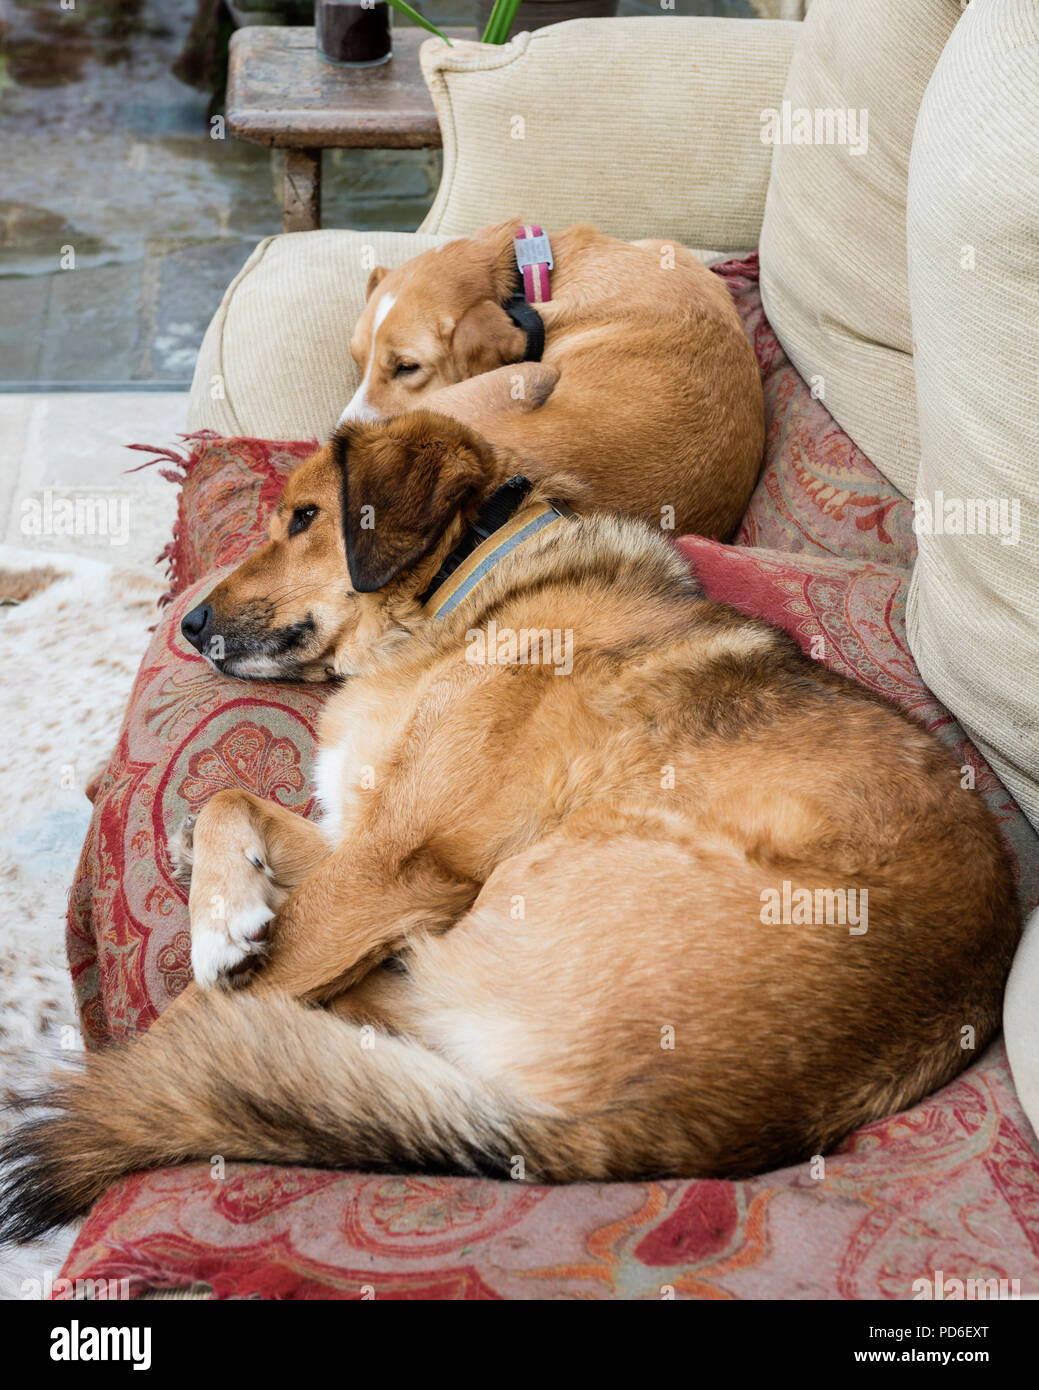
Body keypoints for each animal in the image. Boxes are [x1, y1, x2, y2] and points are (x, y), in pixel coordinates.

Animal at [0, 408, 1023, 1239]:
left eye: (303, 518)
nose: (188, 624)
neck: (462, 595)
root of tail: (688, 1134)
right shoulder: (367, 834)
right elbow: (223, 802)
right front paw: (226, 909)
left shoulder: (400, 865)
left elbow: (198, 1007)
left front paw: (217, 948)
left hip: (572, 855)